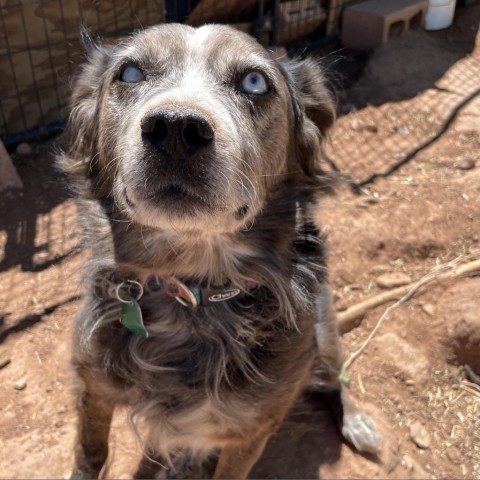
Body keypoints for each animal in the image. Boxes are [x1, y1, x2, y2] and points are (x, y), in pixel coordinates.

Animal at [60, 24, 380, 478]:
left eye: (255, 81)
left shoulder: (251, 429)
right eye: (131, 73)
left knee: (337, 379)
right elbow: (90, 454)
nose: (176, 128)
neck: (191, 288)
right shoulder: (92, 386)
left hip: (325, 336)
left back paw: (355, 420)